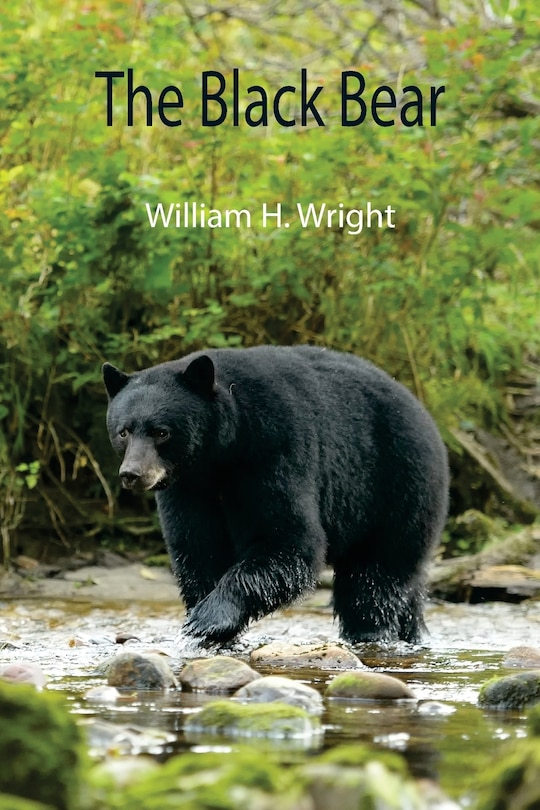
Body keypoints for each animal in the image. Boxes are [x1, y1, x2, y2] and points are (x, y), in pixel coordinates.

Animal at [103, 345, 449, 646]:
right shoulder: (188, 488)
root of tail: (424, 414)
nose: (132, 474)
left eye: (161, 432)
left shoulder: (274, 452)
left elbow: (288, 540)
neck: (219, 456)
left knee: (374, 578)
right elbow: (198, 548)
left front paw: (208, 619)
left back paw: (370, 632)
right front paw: (209, 624)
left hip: (395, 485)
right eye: (124, 431)